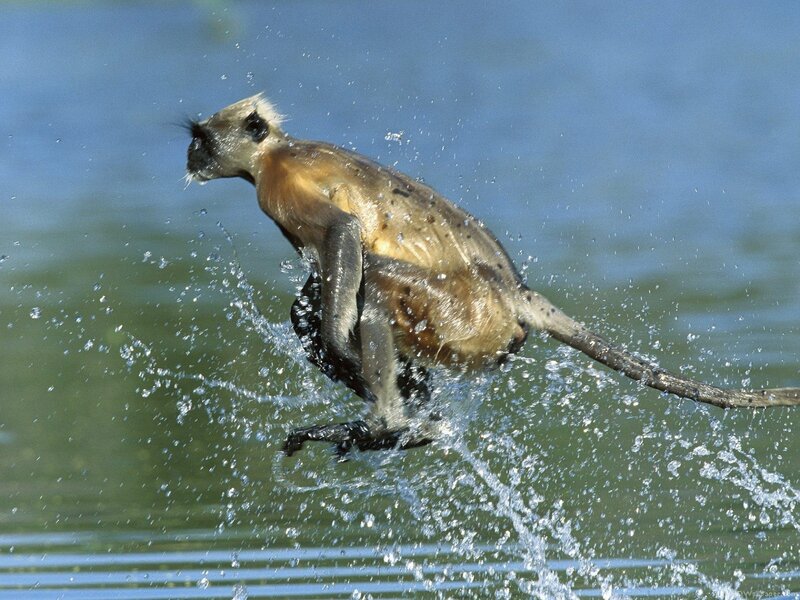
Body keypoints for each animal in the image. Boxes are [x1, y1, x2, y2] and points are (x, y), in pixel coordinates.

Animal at [185, 94, 800, 457]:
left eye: (203, 138)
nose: (190, 155)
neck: (275, 152)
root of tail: (515, 291)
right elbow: (319, 290)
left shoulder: (281, 186)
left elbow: (345, 235)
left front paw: (344, 349)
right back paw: (412, 419)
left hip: (467, 314)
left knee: (375, 287)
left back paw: (386, 422)